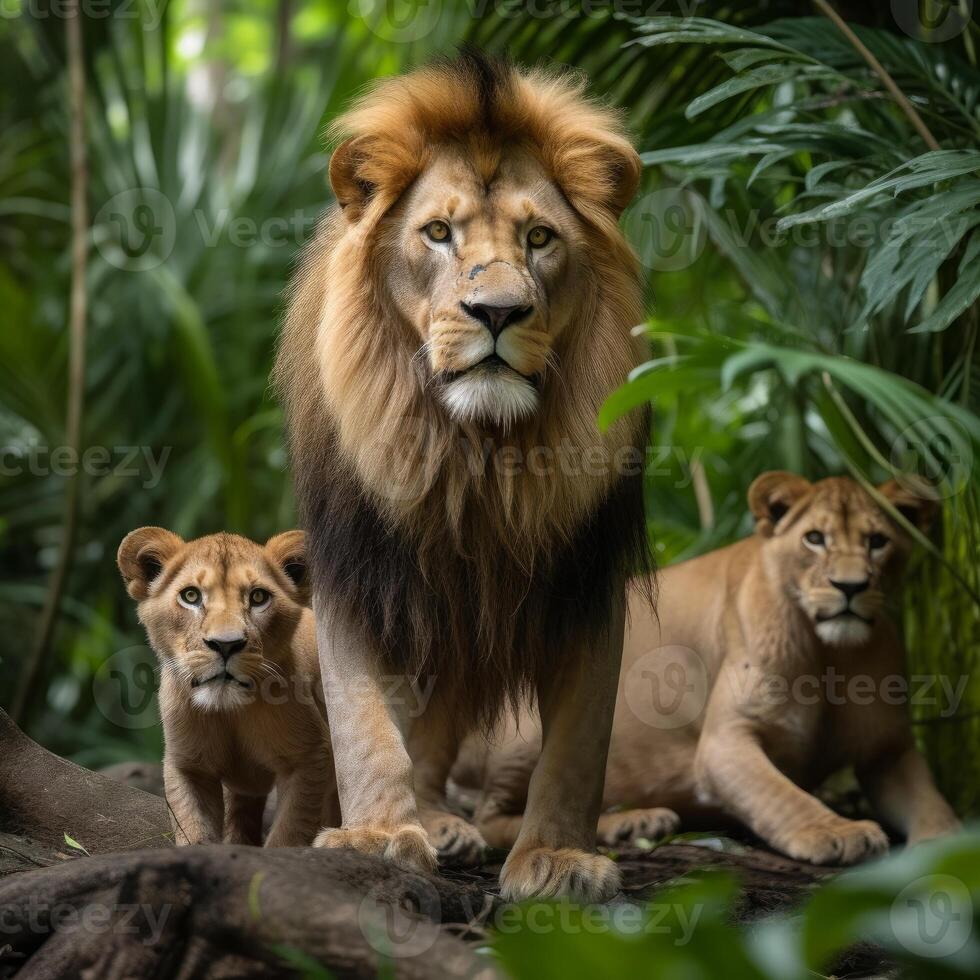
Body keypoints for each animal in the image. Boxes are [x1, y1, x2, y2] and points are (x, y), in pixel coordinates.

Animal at [274, 49, 652, 900]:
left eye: (540, 237)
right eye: (439, 233)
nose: (499, 312)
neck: (475, 454)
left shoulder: (586, 580)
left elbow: (578, 742)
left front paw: (557, 857)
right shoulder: (357, 566)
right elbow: (363, 723)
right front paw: (379, 836)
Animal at [468, 474, 956, 864]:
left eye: (878, 542)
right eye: (815, 538)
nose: (850, 587)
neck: (830, 653)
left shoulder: (887, 749)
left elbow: (932, 801)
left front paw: (953, 846)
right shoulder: (726, 741)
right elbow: (780, 795)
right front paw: (837, 831)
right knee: (491, 815)